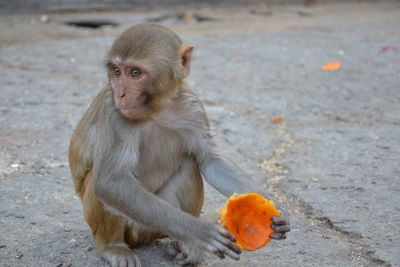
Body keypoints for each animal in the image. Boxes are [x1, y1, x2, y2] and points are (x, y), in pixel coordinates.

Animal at [69, 23, 290, 267]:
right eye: (116, 70)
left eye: (135, 73)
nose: (121, 93)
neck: (157, 110)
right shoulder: (114, 114)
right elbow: (111, 181)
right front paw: (198, 231)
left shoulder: (192, 106)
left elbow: (209, 160)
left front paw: (271, 203)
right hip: (134, 227)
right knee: (99, 183)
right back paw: (114, 247)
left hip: (153, 226)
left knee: (189, 164)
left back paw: (183, 245)